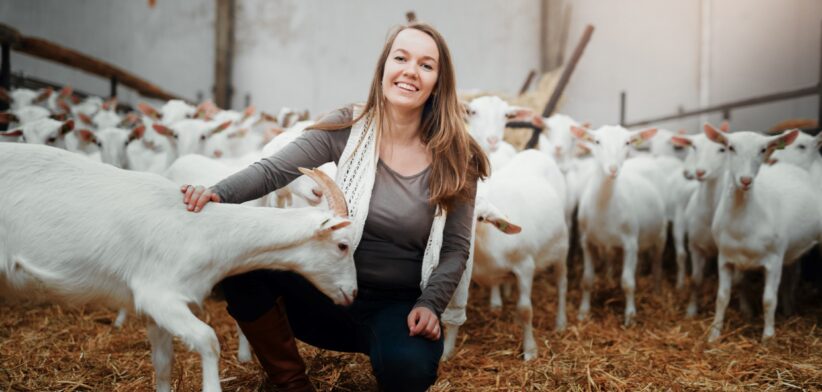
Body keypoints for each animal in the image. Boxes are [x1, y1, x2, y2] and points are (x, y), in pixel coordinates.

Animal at [1, 145, 358, 392]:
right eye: (342, 245)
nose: (352, 293)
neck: (203, 229)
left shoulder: (154, 310)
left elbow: (163, 364)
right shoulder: (160, 295)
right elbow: (208, 339)